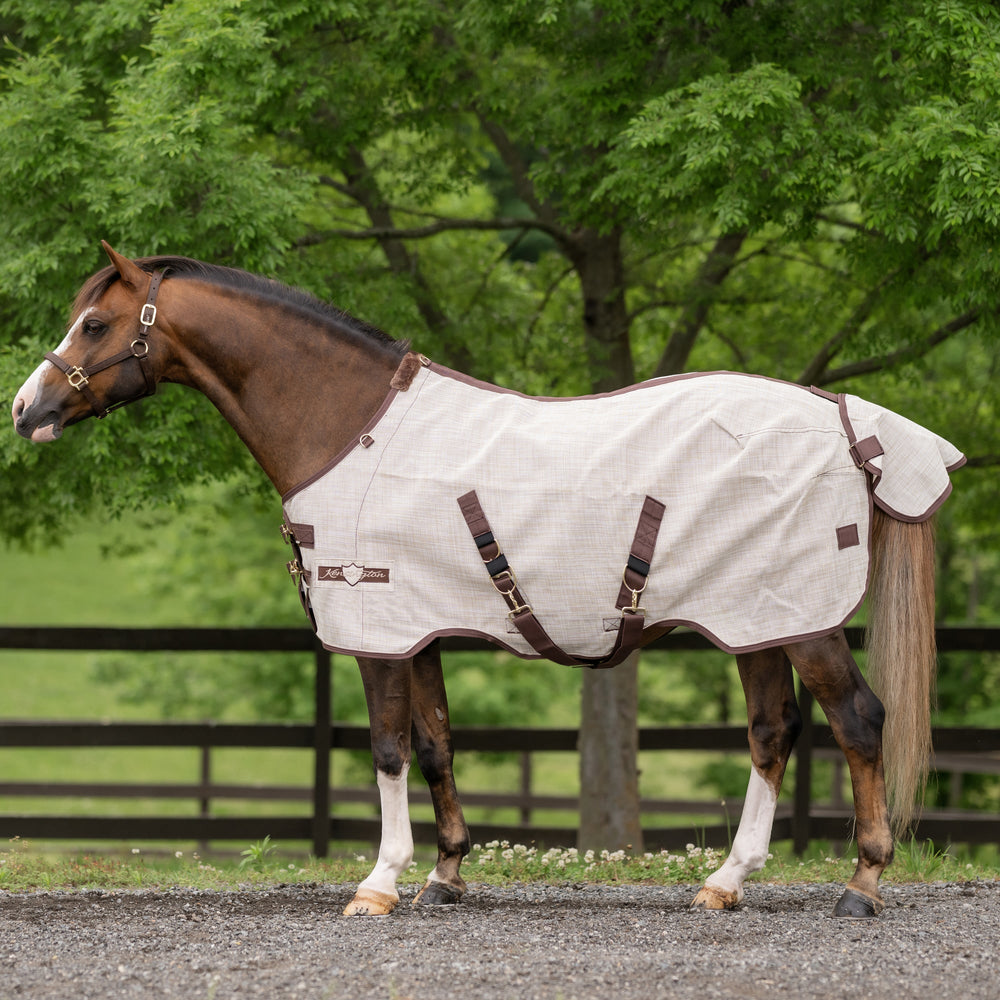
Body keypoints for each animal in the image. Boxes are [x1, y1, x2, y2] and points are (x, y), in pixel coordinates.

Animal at [12, 242, 964, 919]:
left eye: (94, 324)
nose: (26, 410)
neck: (347, 425)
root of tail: (844, 418)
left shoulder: (378, 633)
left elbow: (388, 748)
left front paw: (380, 883)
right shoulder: (421, 631)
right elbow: (436, 745)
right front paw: (446, 878)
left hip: (805, 622)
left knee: (858, 722)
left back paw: (863, 887)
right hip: (758, 620)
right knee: (774, 732)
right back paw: (726, 883)